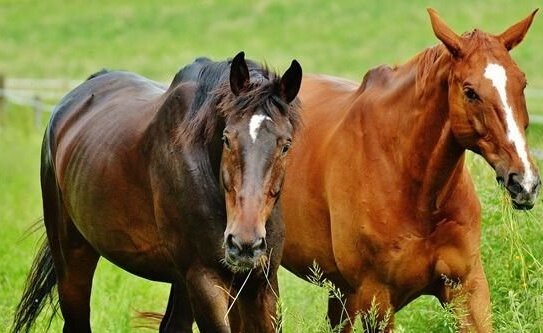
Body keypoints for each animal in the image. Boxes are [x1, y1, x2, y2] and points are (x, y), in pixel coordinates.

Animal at [12, 50, 304, 330]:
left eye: (286, 145)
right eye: (227, 138)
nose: (244, 243)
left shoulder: (260, 283)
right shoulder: (205, 278)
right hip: (73, 260)